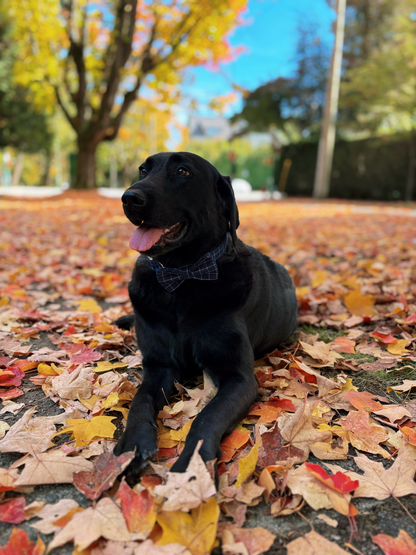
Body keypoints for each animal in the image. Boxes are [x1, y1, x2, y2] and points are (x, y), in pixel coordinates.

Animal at [114, 151, 296, 478]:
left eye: (183, 172)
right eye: (143, 170)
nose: (129, 198)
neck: (181, 278)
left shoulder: (238, 378)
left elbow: (206, 417)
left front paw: (192, 465)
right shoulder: (158, 366)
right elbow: (139, 400)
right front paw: (133, 443)